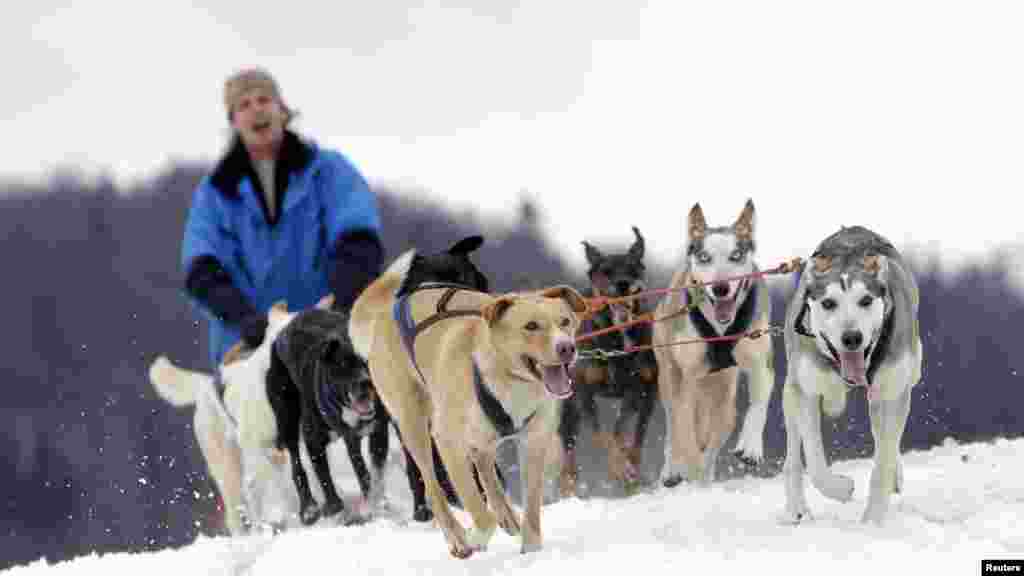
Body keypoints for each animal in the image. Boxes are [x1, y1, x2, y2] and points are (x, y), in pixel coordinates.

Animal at [350, 248, 589, 557]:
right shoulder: (448, 443)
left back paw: (506, 514)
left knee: (485, 466)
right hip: (414, 424)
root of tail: (388, 313)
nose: (566, 348)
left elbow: (532, 508)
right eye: (531, 326)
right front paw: (475, 537)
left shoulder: (535, 442)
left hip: (478, 437)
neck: (506, 378)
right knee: (434, 489)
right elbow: (478, 510)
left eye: (565, 321)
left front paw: (531, 551)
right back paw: (458, 538)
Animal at [557, 226, 659, 496]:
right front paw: (618, 468)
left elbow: (620, 431)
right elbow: (601, 434)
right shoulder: (583, 392)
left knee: (638, 434)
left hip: (649, 396)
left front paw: (626, 469)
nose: (623, 284)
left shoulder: (638, 389)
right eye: (606, 271)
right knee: (568, 449)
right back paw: (569, 487)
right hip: (568, 406)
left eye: (633, 268)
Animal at [655, 199, 774, 485]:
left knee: (713, 439)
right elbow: (685, 432)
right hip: (669, 378)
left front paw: (751, 447)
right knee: (675, 426)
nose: (721, 288)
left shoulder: (760, 363)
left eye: (736, 255)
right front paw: (687, 467)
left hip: (724, 402)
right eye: (705, 257)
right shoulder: (686, 379)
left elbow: (759, 404)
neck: (721, 330)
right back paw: (674, 470)